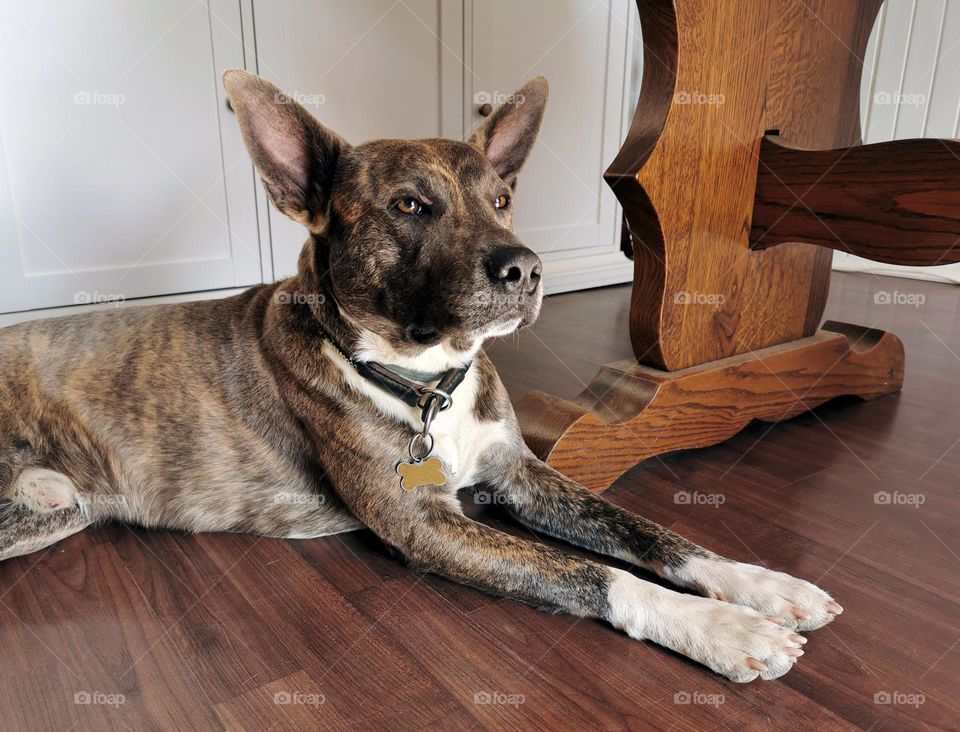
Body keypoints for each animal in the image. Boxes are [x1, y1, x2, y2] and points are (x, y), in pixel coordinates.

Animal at [0, 68, 840, 680]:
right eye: (409, 205)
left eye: (501, 200)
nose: (526, 268)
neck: (428, 379)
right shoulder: (427, 526)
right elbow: (590, 573)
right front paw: (722, 627)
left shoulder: (522, 475)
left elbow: (646, 530)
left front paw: (761, 584)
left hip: (60, 511)